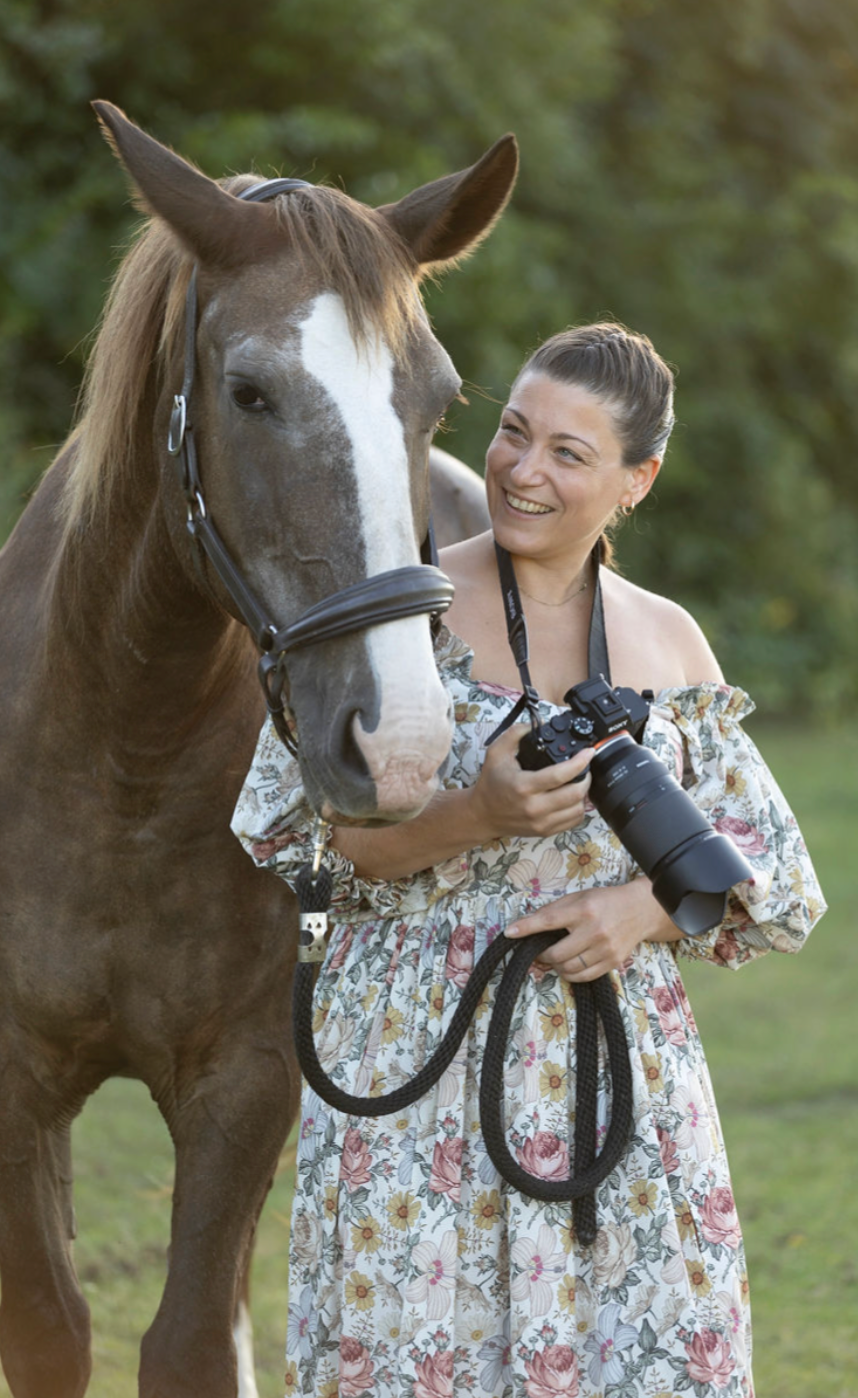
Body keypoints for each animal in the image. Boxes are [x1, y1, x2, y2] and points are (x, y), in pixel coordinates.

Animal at [0, 102, 513, 1398]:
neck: (119, 764)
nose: (400, 743)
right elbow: (48, 1328)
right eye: (248, 392)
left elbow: (190, 1343)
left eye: (437, 395)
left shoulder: (242, 1081)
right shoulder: (11, 1088)